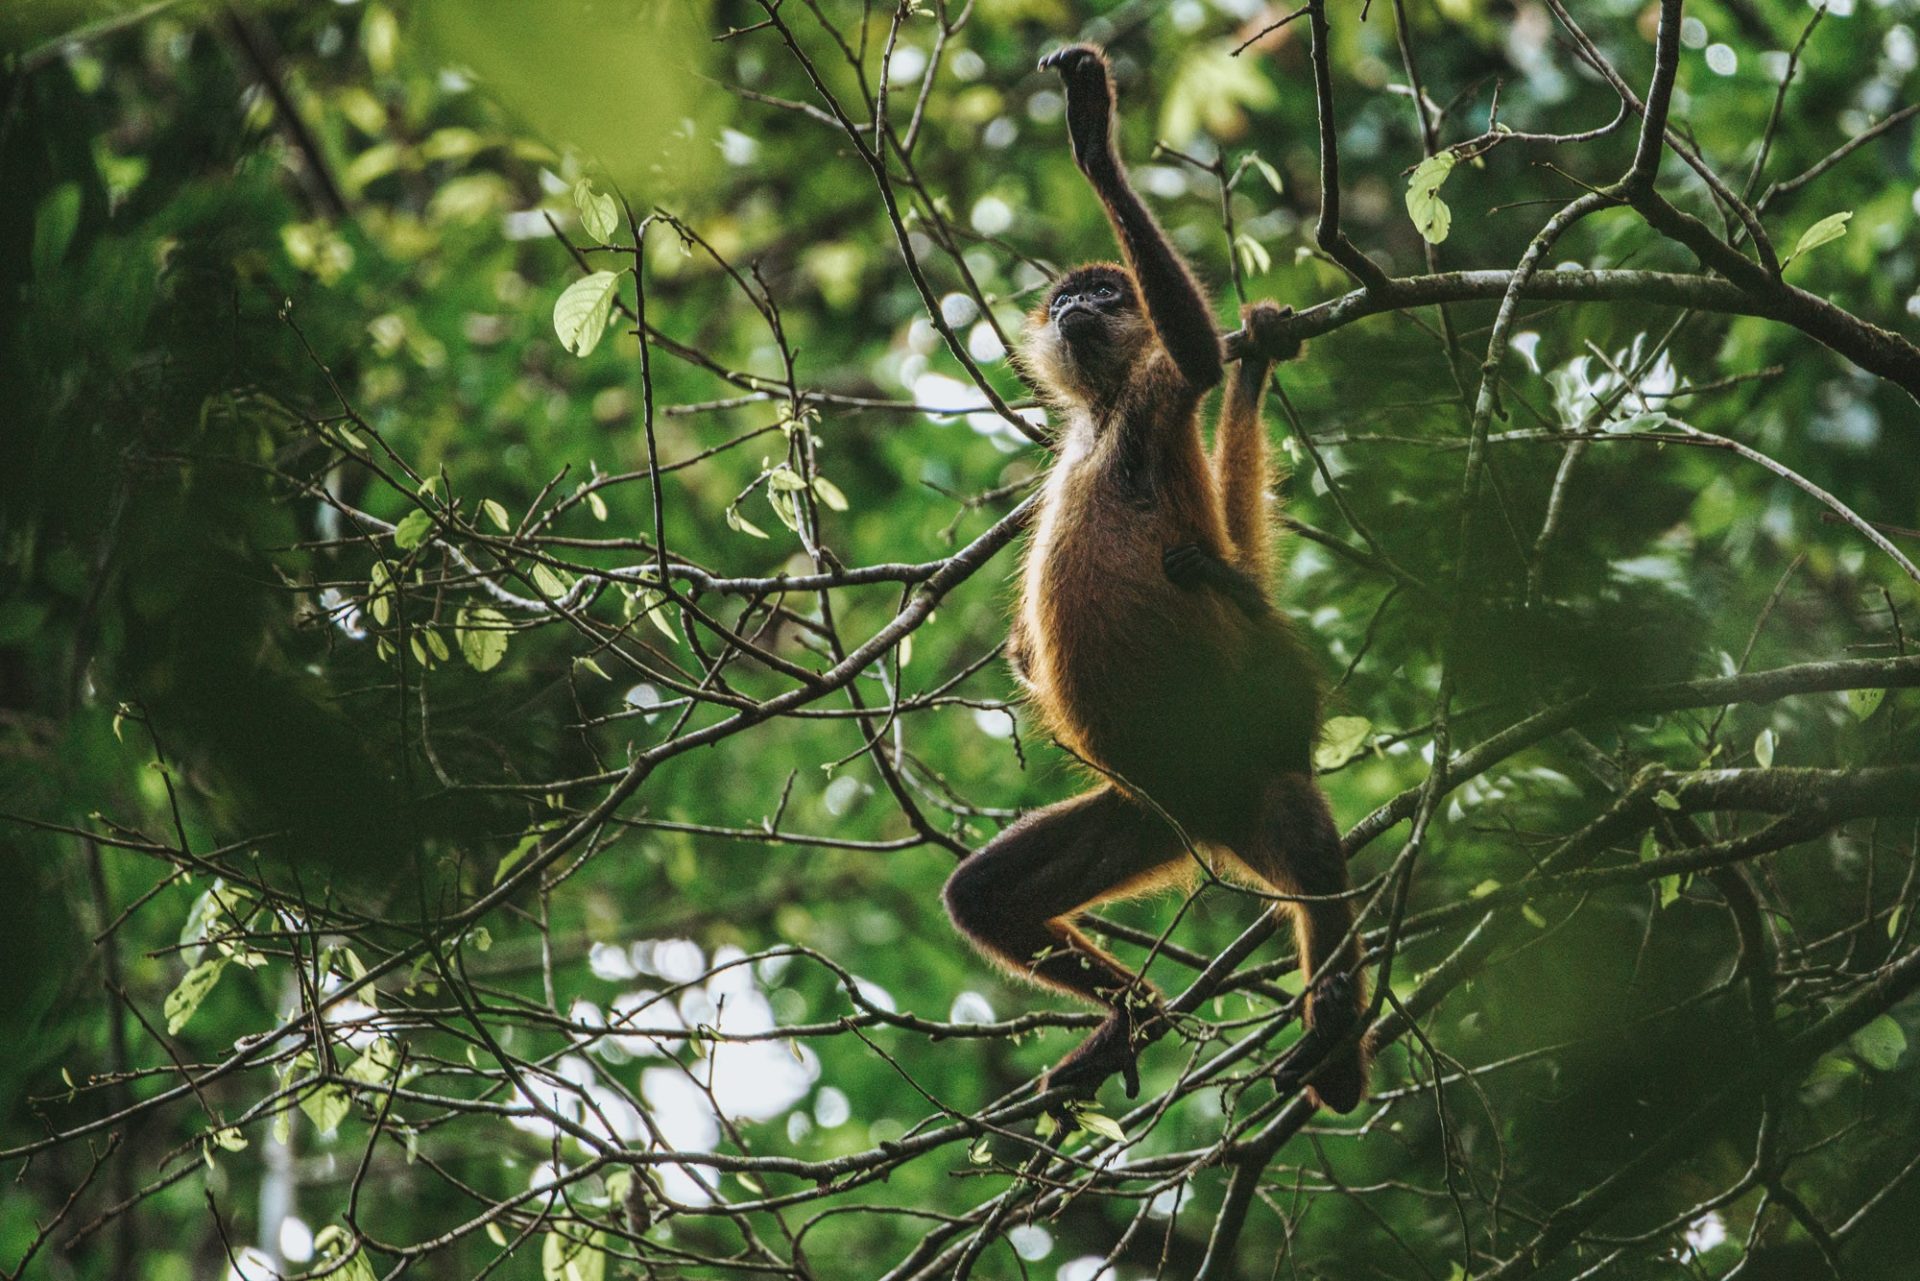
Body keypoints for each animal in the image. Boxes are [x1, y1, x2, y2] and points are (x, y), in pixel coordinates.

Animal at [940, 45, 1367, 1113]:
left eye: (1103, 295)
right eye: (1064, 303)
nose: (1073, 309)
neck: (1099, 421)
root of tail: (1213, 818)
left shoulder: (1152, 397)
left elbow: (1196, 356)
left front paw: (1094, 137)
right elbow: (1026, 655)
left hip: (1236, 766)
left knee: (1302, 825)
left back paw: (1338, 1041)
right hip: (1147, 811)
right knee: (982, 897)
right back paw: (1131, 1014)